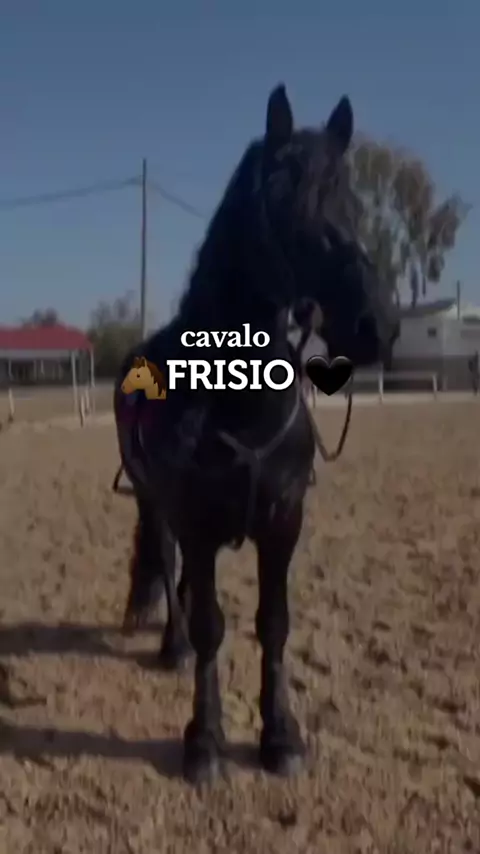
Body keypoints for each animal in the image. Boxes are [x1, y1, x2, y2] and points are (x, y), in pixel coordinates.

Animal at [114, 84, 399, 785]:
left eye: (354, 204)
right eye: (284, 204)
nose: (376, 325)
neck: (238, 399)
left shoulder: (282, 522)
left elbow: (273, 625)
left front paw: (281, 736)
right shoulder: (196, 519)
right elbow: (212, 627)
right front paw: (204, 741)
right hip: (155, 503)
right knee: (168, 571)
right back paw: (172, 647)